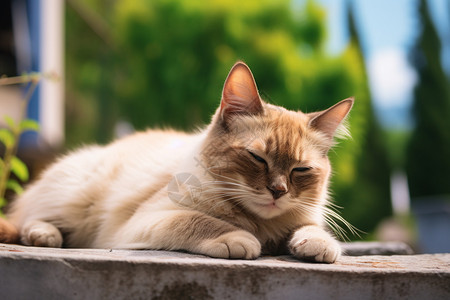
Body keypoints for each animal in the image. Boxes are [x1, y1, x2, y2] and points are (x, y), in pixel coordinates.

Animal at [0, 62, 354, 262]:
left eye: (300, 170)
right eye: (257, 158)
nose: (278, 192)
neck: (259, 224)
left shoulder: (302, 219)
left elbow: (312, 229)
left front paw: (318, 245)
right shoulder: (146, 220)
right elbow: (198, 221)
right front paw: (238, 239)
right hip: (75, 195)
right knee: (28, 218)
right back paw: (44, 235)